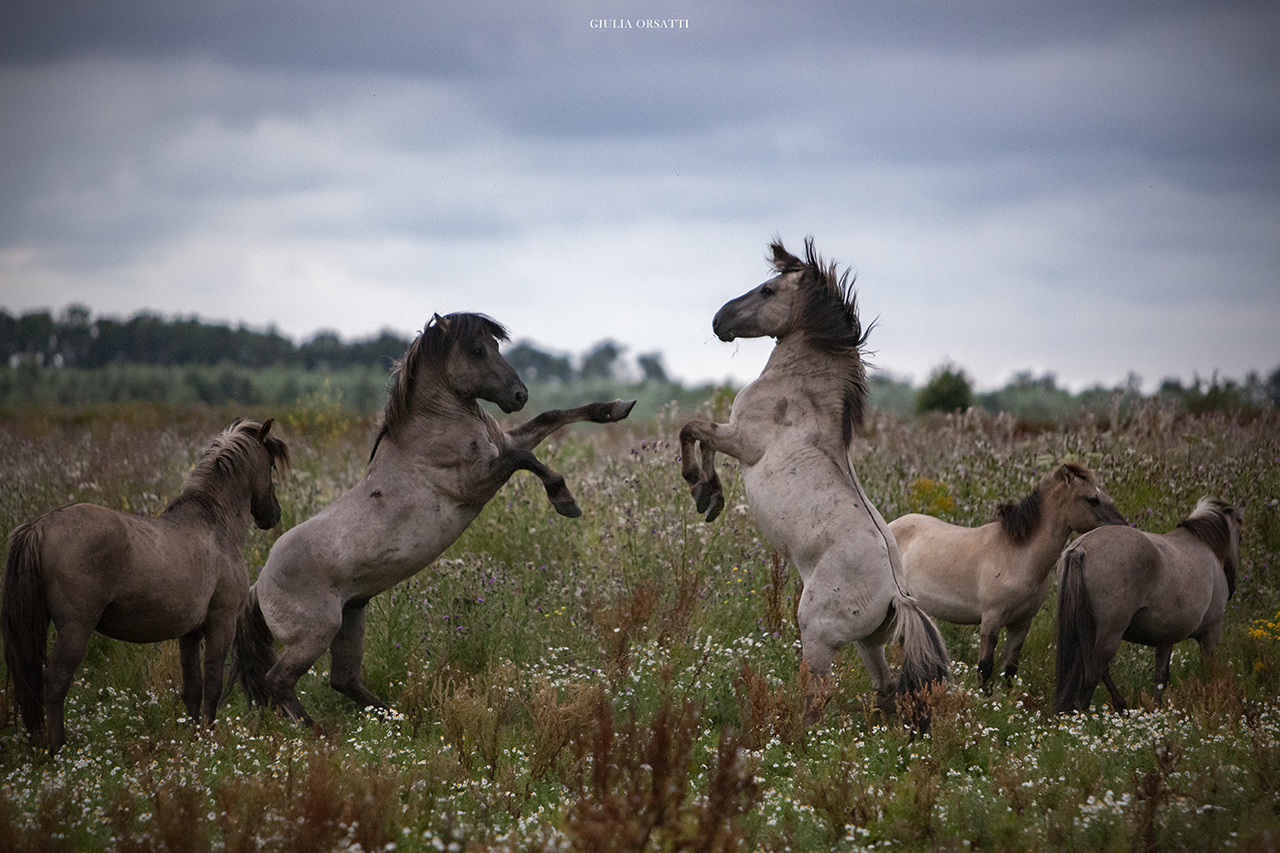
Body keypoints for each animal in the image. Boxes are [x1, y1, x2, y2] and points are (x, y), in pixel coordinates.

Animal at [1, 417, 288, 753]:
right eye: (270, 463)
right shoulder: (222, 623)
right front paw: (208, 738)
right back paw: (59, 749)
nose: (273, 515)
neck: (214, 525)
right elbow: (213, 685)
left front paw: (194, 738)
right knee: (55, 684)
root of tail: (40, 527)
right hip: (75, 630)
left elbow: (193, 687)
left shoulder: (189, 633)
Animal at [235, 312, 634, 722]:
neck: (435, 427)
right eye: (476, 350)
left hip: (351, 618)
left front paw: (617, 407)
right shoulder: (476, 481)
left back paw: (397, 718)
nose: (519, 395)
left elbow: (552, 418)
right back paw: (319, 732)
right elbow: (526, 460)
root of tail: (259, 584)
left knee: (343, 680)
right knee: (280, 680)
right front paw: (564, 499)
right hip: (316, 633)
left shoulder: (506, 443)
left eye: (495, 345)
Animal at [680, 236, 952, 717]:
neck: (798, 393)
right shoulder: (735, 438)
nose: (718, 320)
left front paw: (699, 486)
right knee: (884, 686)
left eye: (768, 290)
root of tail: (897, 596)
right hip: (868, 643)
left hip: (817, 633)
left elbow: (694, 430)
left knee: (819, 691)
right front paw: (708, 497)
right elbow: (703, 438)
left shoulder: (743, 440)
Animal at [885, 461, 1126, 686]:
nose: (1122, 526)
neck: (1017, 557)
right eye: (1092, 499)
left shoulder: (1021, 624)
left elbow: (1010, 669)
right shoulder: (991, 621)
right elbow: (985, 668)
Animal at [1054, 494, 1244, 712]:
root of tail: (1081, 548)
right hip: (1109, 633)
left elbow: (1161, 676)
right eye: (1240, 537)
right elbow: (1208, 671)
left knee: (1090, 668)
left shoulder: (1166, 637)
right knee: (1093, 672)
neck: (1202, 544)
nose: (1232, 587)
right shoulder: (1210, 634)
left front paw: (1157, 709)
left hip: (1086, 629)